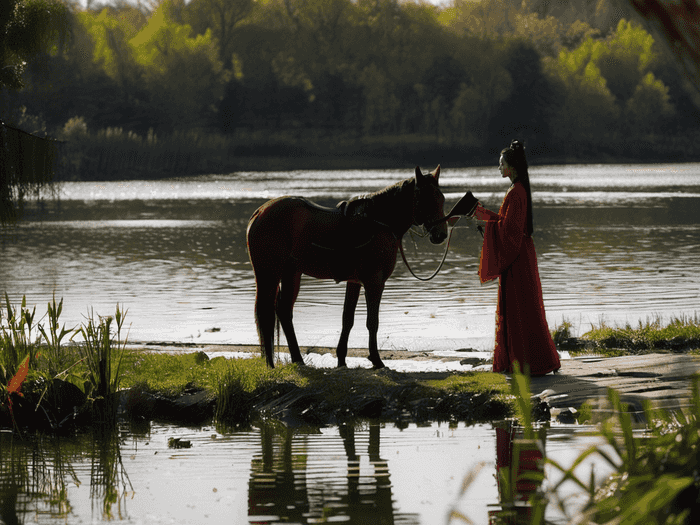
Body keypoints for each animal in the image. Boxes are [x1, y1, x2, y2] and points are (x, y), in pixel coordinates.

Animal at [246, 167, 448, 368]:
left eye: (442, 198)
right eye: (427, 199)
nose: (441, 235)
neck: (379, 221)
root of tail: (259, 212)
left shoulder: (355, 282)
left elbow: (347, 320)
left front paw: (342, 358)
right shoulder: (374, 282)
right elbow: (372, 322)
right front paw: (376, 359)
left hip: (291, 273)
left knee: (284, 310)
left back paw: (297, 359)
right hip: (268, 273)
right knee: (266, 313)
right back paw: (271, 363)